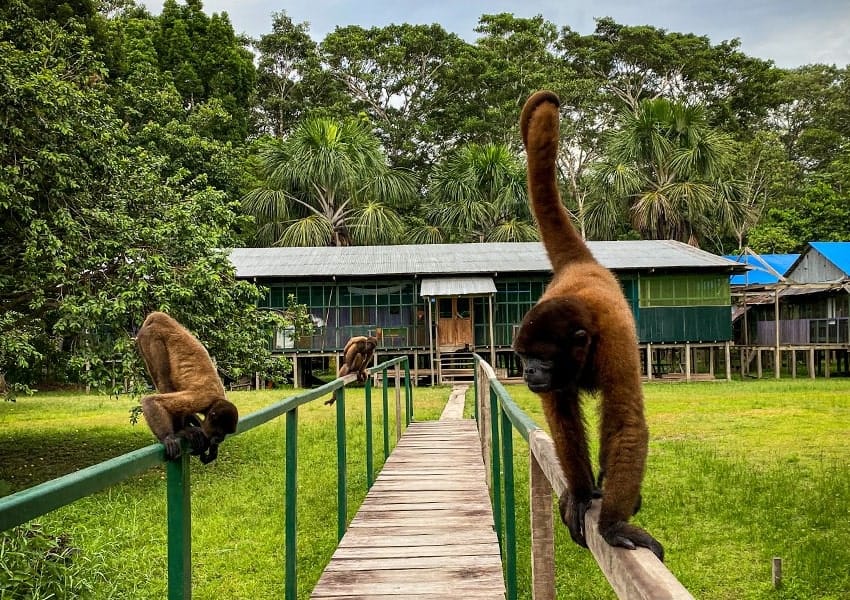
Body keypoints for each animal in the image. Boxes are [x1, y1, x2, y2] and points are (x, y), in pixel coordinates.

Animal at [136, 311, 238, 464]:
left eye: (227, 433)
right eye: (220, 432)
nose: (220, 439)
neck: (215, 400)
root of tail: (161, 319)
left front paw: (212, 447)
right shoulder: (202, 398)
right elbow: (152, 401)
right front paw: (169, 436)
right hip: (151, 338)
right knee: (164, 380)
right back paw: (181, 430)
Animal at [513, 91, 664, 561]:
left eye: (540, 358)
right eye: (523, 358)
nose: (529, 373)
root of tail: (582, 265)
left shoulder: (614, 341)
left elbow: (626, 422)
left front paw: (613, 523)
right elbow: (562, 418)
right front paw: (581, 495)